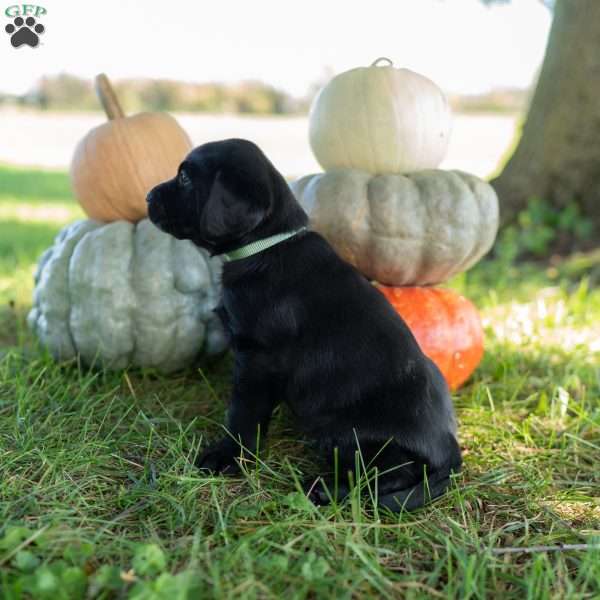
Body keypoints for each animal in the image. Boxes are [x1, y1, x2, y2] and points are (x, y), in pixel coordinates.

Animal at [148, 138, 462, 508]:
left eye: (184, 177)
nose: (148, 197)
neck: (266, 245)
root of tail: (449, 451)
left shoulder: (257, 359)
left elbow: (243, 411)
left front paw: (228, 456)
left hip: (348, 433)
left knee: (387, 474)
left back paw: (325, 489)